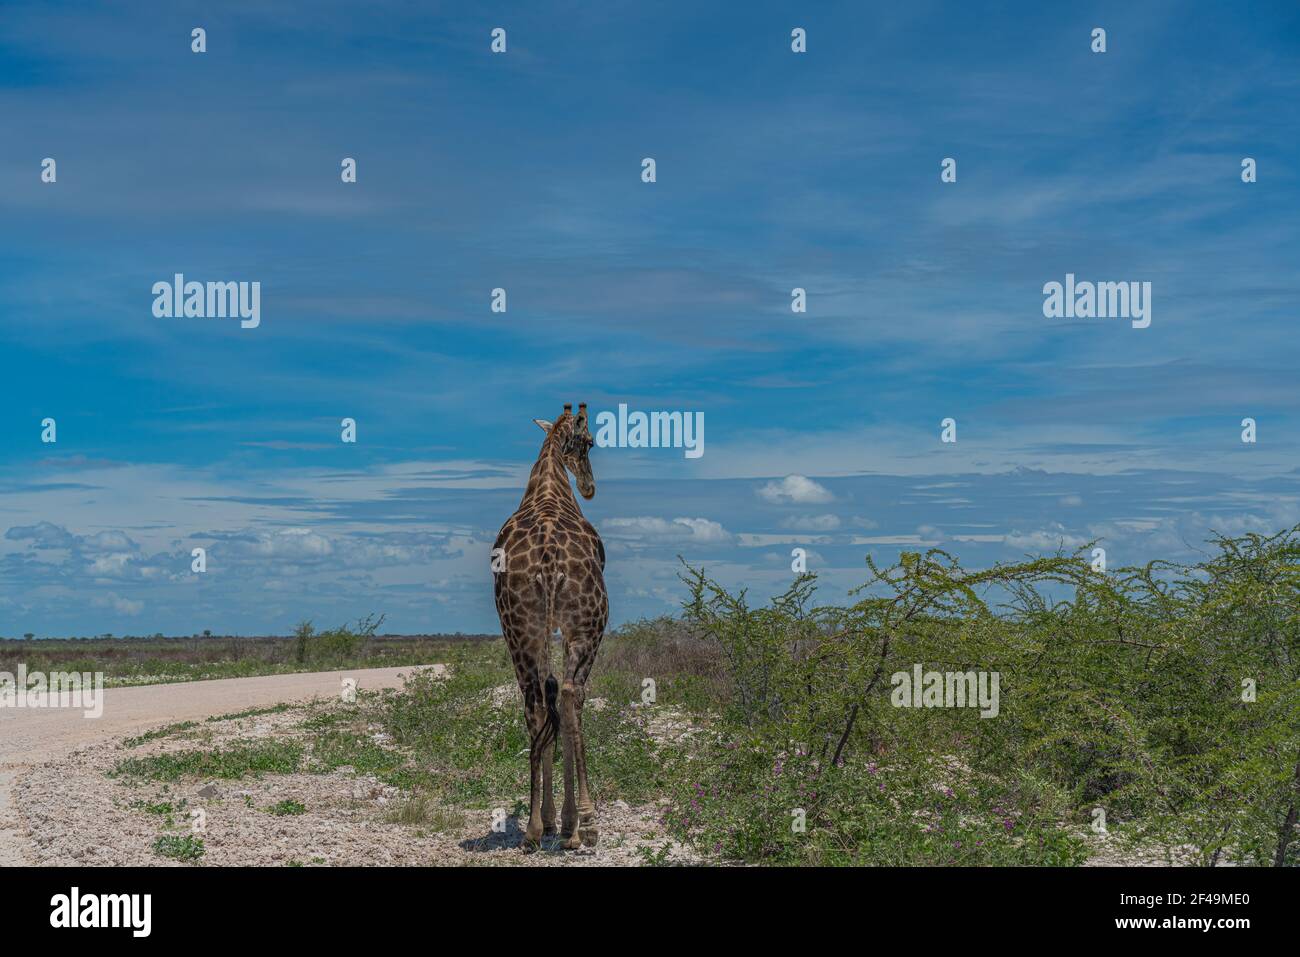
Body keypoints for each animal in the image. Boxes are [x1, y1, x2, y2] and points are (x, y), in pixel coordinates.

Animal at [492, 402, 608, 851]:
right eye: (589, 441)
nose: (590, 487)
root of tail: (547, 557)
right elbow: (568, 697)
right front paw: (569, 823)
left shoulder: (539, 630)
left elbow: (547, 701)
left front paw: (549, 821)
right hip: (588, 625)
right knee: (573, 694)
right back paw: (584, 825)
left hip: (518, 629)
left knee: (536, 700)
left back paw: (532, 830)